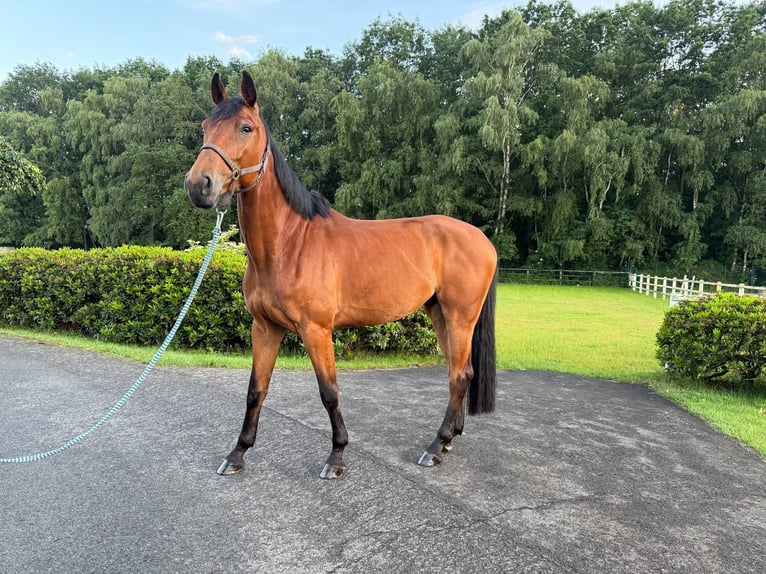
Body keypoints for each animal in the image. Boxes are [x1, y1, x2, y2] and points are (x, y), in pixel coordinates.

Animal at [185, 71, 498, 479]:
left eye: (245, 128)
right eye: (206, 127)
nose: (198, 185)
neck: (290, 243)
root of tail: (481, 238)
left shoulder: (317, 330)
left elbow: (329, 392)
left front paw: (336, 457)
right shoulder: (265, 328)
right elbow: (256, 390)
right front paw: (237, 453)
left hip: (460, 317)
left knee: (458, 376)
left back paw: (435, 447)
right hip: (439, 313)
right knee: (459, 373)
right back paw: (447, 441)